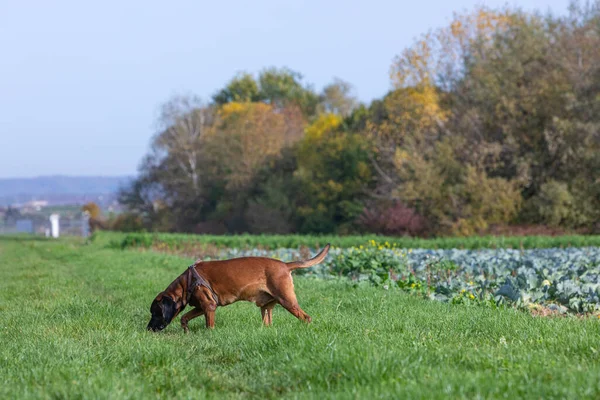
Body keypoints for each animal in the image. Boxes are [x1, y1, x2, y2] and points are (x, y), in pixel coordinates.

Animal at [147, 244, 330, 332]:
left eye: (156, 313)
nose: (148, 329)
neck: (187, 283)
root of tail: (285, 265)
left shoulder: (209, 306)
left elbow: (209, 326)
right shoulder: (202, 306)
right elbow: (184, 318)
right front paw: (186, 331)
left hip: (287, 301)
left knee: (306, 318)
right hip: (266, 307)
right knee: (268, 323)